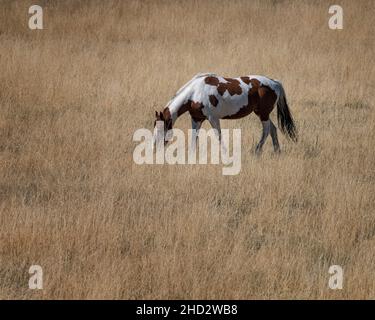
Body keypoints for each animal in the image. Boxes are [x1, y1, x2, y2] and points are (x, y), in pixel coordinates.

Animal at [154, 73, 298, 153]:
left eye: (161, 129)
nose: (154, 147)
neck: (195, 92)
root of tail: (275, 83)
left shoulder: (213, 118)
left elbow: (218, 136)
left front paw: (224, 153)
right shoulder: (196, 119)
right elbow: (194, 137)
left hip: (263, 115)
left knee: (267, 130)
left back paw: (257, 151)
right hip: (262, 114)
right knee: (273, 129)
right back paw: (277, 151)